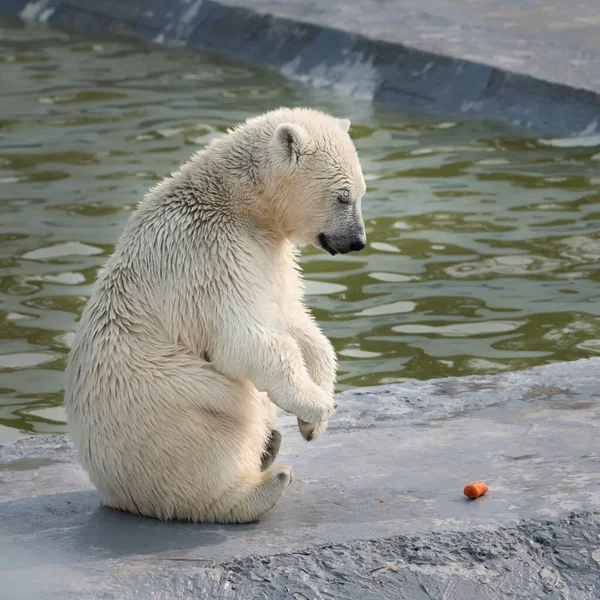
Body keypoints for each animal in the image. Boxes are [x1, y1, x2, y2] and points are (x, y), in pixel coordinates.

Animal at [64, 108, 366, 524]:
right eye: (342, 196)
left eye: (361, 193)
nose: (358, 241)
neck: (238, 204)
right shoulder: (212, 253)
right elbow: (246, 338)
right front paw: (318, 405)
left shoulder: (268, 254)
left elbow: (293, 318)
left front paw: (312, 421)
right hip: (166, 402)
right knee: (214, 439)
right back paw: (263, 483)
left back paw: (270, 447)